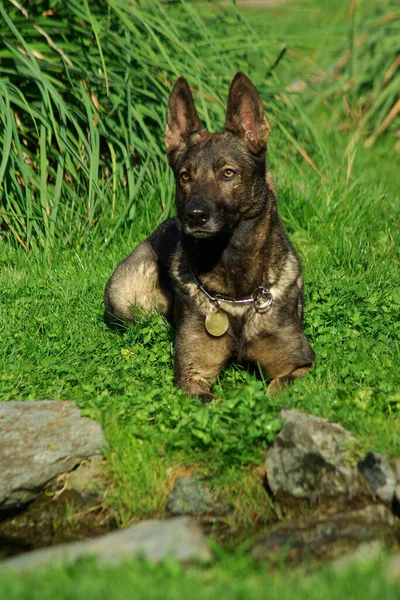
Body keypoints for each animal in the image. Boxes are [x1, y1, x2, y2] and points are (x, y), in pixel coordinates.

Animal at [104, 72, 316, 400]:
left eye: (228, 173)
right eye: (185, 176)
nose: (194, 215)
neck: (237, 293)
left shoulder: (298, 367)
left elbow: (275, 392)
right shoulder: (192, 376)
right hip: (125, 296)